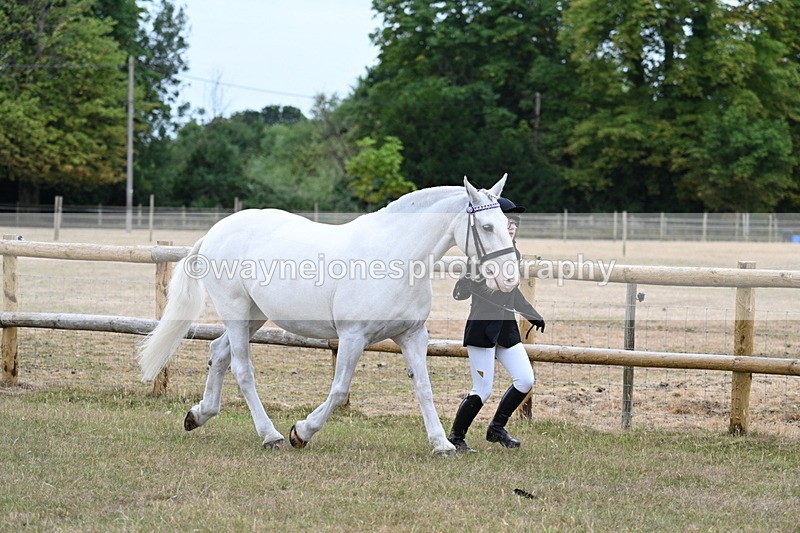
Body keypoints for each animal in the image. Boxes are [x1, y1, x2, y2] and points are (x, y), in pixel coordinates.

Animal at [138, 175, 521, 455]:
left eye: (505, 224)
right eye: (486, 227)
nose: (508, 279)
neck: (396, 257)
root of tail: (216, 231)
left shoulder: (412, 335)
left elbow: (424, 388)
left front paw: (441, 444)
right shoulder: (353, 337)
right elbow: (339, 390)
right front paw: (301, 432)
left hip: (253, 316)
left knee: (218, 353)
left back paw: (198, 415)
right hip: (234, 310)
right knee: (242, 370)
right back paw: (271, 435)